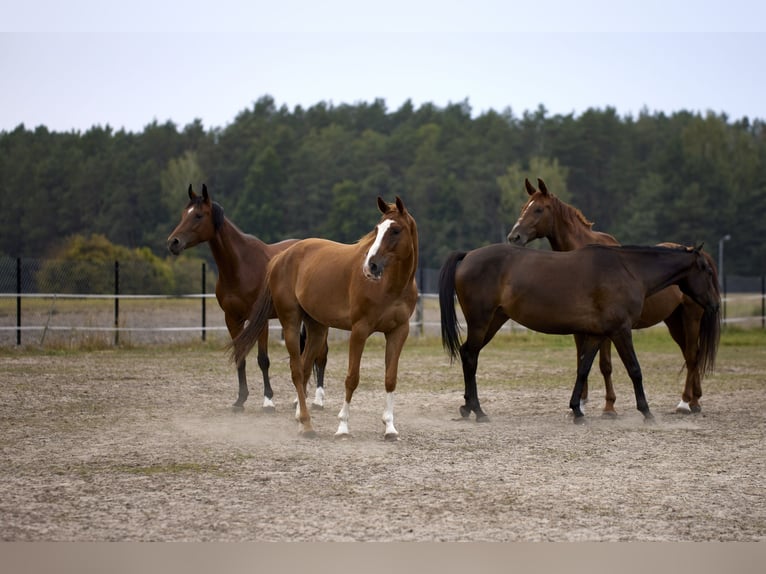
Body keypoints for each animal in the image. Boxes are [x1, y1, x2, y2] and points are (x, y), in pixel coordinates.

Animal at [168, 183, 328, 410]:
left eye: (198, 215)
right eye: (184, 214)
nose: (173, 242)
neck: (241, 266)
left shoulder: (259, 320)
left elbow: (263, 360)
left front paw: (268, 400)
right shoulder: (232, 319)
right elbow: (240, 356)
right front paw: (240, 400)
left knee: (321, 355)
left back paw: (318, 400)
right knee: (305, 355)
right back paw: (299, 399)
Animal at [232, 198, 420, 440]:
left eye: (395, 230)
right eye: (377, 229)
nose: (371, 266)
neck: (391, 286)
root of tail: (280, 257)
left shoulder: (398, 332)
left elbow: (390, 378)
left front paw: (389, 427)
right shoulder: (360, 331)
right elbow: (352, 378)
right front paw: (343, 427)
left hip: (317, 328)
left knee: (304, 370)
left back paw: (301, 420)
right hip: (291, 323)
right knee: (296, 371)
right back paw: (307, 425)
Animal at [440, 242, 724, 424]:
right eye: (708, 271)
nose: (715, 305)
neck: (628, 270)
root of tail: (468, 255)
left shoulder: (598, 334)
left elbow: (583, 369)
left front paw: (577, 410)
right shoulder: (621, 331)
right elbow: (635, 370)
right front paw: (646, 412)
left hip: (494, 320)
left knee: (468, 354)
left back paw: (467, 407)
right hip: (481, 322)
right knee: (471, 357)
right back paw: (478, 411)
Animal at [510, 179, 720, 414]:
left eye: (538, 209)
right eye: (524, 207)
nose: (514, 237)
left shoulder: (608, 330)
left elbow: (605, 365)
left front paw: (609, 406)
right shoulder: (581, 329)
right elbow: (581, 362)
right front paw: (582, 403)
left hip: (691, 318)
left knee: (692, 356)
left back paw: (686, 402)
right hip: (674, 321)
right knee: (689, 354)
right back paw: (695, 399)